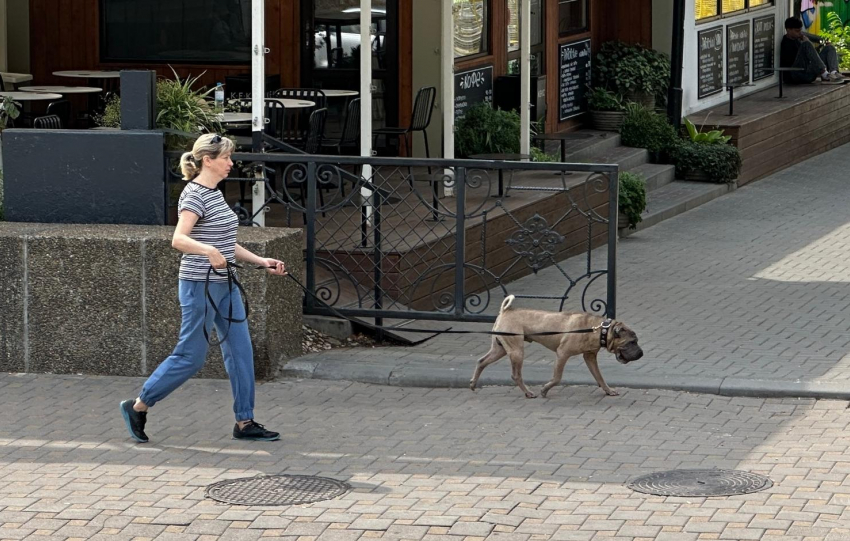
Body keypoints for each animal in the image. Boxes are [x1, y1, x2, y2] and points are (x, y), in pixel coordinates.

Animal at [468, 296, 640, 396]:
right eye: (632, 342)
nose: (641, 353)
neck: (599, 328)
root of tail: (505, 310)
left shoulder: (590, 357)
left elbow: (599, 376)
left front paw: (608, 390)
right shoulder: (562, 354)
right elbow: (557, 378)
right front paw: (545, 389)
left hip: (500, 349)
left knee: (481, 361)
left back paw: (473, 383)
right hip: (516, 351)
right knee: (516, 375)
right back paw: (528, 392)